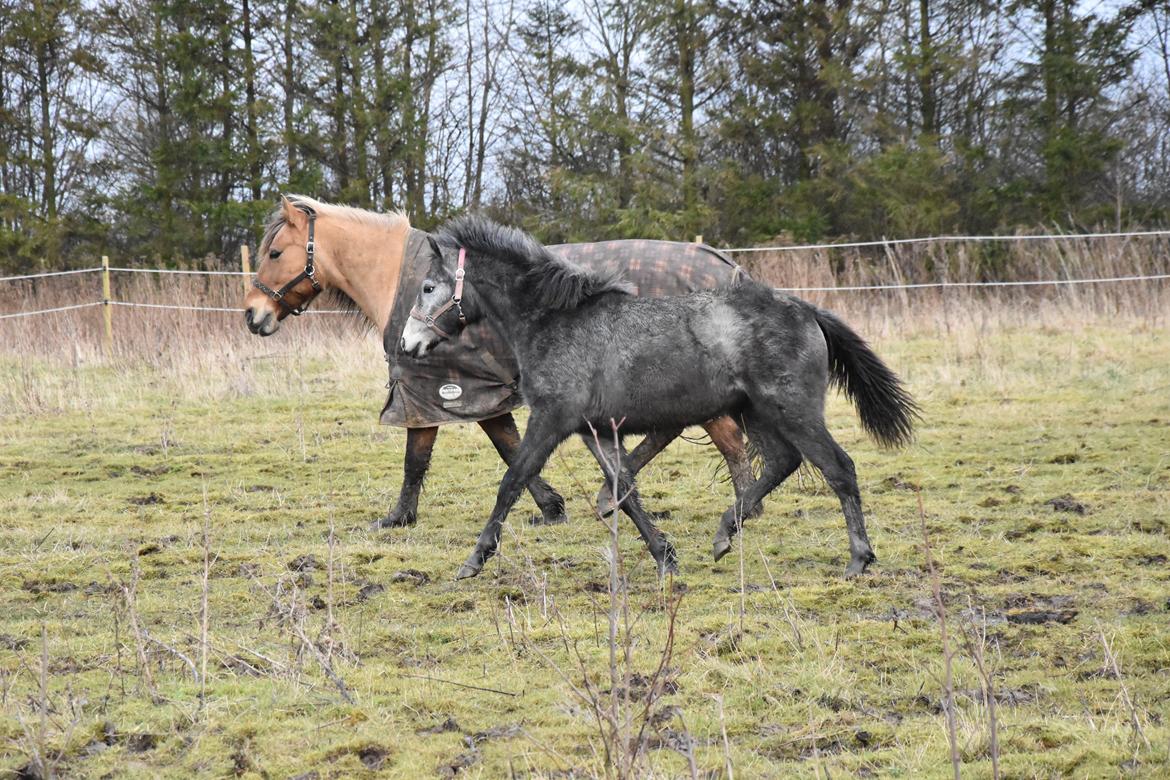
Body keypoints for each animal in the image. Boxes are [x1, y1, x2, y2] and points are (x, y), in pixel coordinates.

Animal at [244, 198, 758, 530]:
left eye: (275, 252)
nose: (253, 314)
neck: (399, 281)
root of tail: (719, 264)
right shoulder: (476, 394)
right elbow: (509, 448)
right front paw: (550, 507)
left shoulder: (430, 391)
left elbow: (418, 458)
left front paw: (397, 518)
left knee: (727, 440)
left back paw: (739, 510)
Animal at [404, 214, 921, 580]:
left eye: (428, 287)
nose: (409, 343)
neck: (556, 322)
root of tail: (806, 308)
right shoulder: (595, 431)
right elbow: (625, 490)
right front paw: (665, 557)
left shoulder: (550, 421)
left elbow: (512, 481)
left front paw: (474, 561)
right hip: (756, 412)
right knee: (780, 462)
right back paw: (723, 536)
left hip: (790, 409)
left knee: (838, 468)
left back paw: (858, 559)